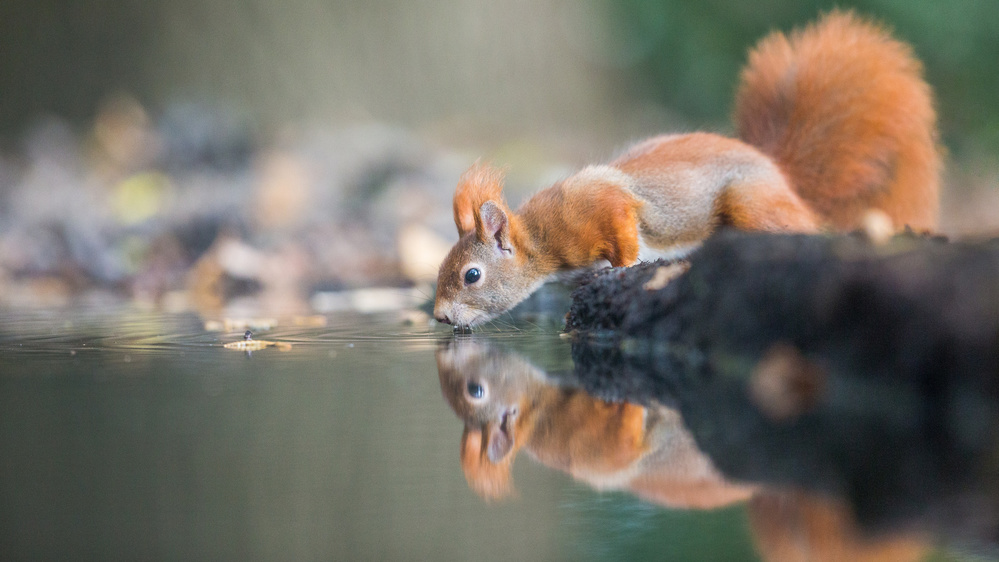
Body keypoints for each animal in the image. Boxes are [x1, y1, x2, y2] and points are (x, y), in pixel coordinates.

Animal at [434, 10, 940, 328]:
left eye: (471, 275)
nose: (438, 316)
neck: (541, 240)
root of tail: (781, 175)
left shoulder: (602, 205)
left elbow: (623, 232)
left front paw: (621, 269)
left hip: (750, 201)